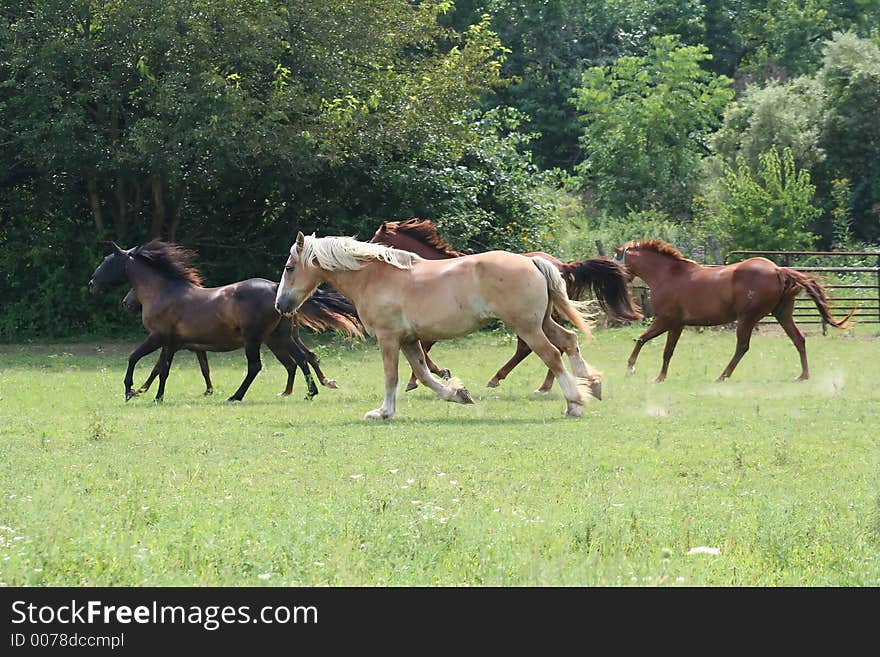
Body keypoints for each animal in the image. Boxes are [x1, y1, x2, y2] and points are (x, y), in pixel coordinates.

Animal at [278, 232, 600, 420]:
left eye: (290, 267)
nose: (280, 304)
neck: (374, 277)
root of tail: (532, 261)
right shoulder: (409, 340)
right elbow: (423, 374)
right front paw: (458, 394)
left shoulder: (388, 338)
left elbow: (392, 376)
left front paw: (383, 412)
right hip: (542, 322)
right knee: (569, 341)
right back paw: (591, 385)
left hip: (527, 327)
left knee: (552, 355)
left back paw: (574, 402)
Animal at [368, 220, 644, 394]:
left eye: (378, 237)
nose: (369, 253)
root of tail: (559, 265)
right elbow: (423, 351)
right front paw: (433, 375)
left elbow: (424, 352)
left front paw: (431, 376)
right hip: (541, 319)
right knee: (561, 342)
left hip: (526, 321)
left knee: (540, 348)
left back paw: (517, 382)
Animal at [616, 240, 856, 382]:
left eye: (617, 257)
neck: (668, 275)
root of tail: (778, 270)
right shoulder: (678, 324)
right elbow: (667, 350)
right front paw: (660, 376)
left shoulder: (667, 320)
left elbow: (643, 340)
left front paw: (632, 368)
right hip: (782, 315)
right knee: (799, 339)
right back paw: (803, 375)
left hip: (747, 318)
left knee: (742, 347)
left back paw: (722, 376)